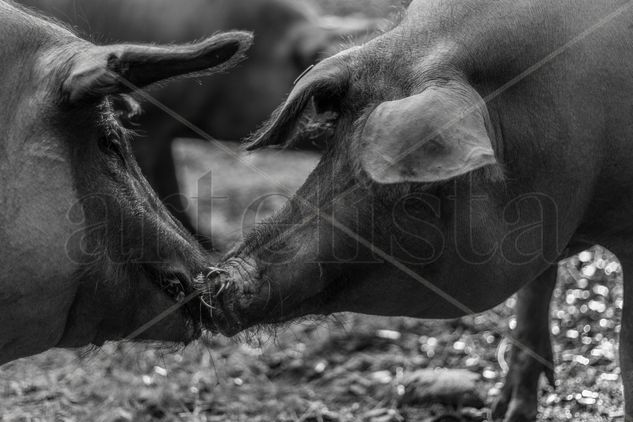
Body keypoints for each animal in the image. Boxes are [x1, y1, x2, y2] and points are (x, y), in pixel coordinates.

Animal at [202, 1, 633, 420]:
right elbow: (531, 300)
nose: (220, 277)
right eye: (335, 142)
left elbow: (625, 348)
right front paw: (507, 414)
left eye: (418, 183)